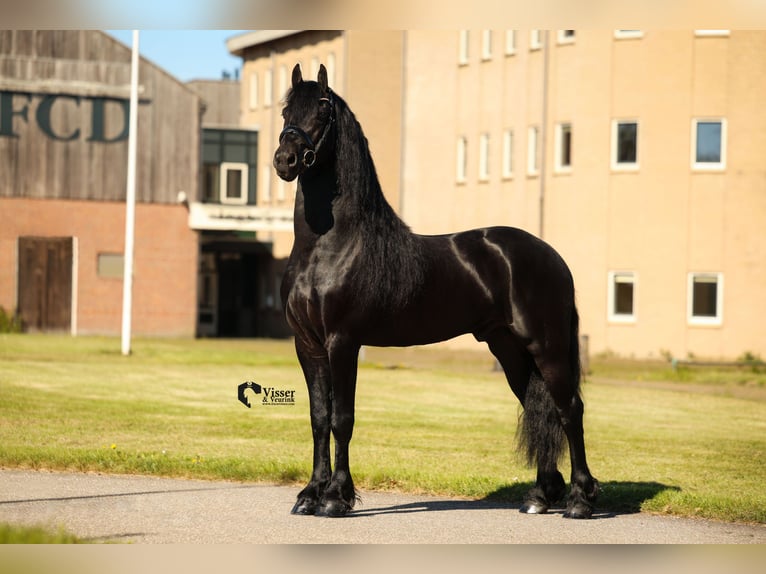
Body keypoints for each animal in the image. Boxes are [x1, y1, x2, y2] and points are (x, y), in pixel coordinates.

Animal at [273, 63, 599, 519]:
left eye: (322, 110)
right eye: (286, 111)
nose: (284, 160)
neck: (330, 246)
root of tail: (553, 257)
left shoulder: (343, 342)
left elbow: (342, 419)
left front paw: (336, 497)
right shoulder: (308, 345)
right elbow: (319, 418)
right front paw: (308, 495)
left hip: (545, 345)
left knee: (570, 409)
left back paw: (580, 501)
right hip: (508, 348)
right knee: (540, 408)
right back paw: (539, 496)